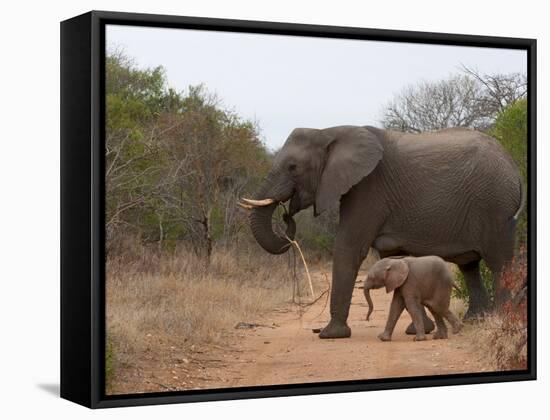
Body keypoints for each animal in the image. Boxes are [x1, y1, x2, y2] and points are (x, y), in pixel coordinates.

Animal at [243, 124, 528, 338]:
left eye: (293, 167)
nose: (286, 213)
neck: (329, 131)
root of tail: (514, 167)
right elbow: (392, 256)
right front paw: (420, 329)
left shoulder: (368, 189)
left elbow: (349, 247)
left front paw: (330, 334)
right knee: (470, 265)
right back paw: (475, 321)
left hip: (495, 206)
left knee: (499, 263)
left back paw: (499, 319)